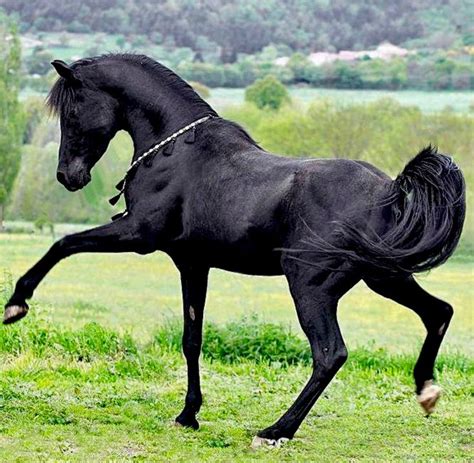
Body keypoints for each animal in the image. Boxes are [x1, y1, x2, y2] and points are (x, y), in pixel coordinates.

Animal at [1, 55, 464, 450]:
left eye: (72, 111)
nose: (68, 176)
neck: (177, 150)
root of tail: (391, 191)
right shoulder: (192, 264)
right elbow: (192, 339)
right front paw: (188, 415)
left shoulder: (137, 235)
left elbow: (63, 244)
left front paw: (17, 304)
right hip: (385, 277)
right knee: (438, 313)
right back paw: (426, 391)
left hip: (311, 287)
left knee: (330, 354)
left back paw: (276, 431)